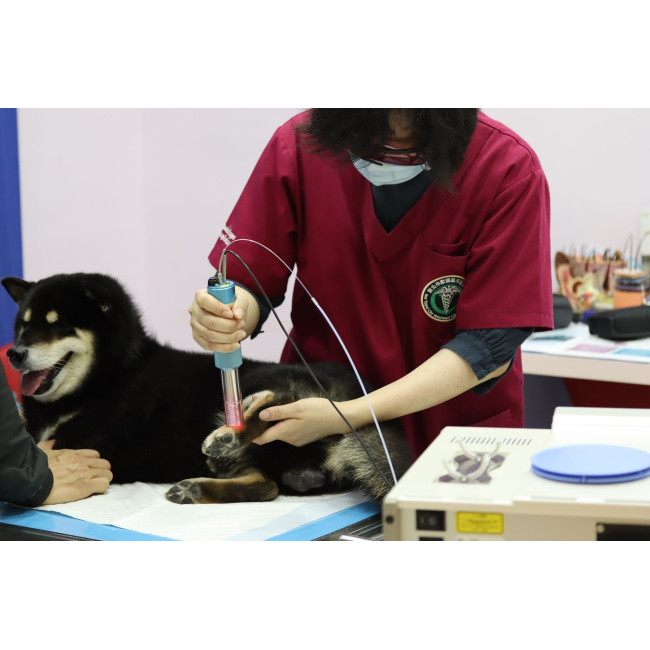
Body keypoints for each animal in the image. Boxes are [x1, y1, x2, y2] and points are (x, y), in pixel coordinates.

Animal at [1, 272, 413, 504]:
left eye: (56, 325)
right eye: (22, 325)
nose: (15, 353)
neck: (110, 377)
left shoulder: (82, 439)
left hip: (266, 386)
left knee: (280, 403)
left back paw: (228, 435)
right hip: (272, 464)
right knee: (266, 486)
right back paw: (198, 487)